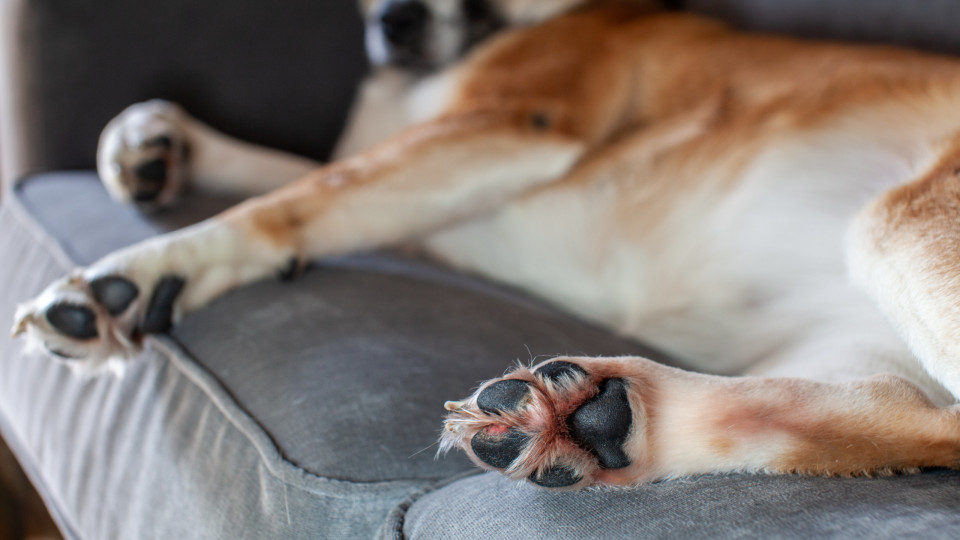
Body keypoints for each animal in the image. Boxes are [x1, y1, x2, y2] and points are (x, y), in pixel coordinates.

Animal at [9, 0, 960, 490]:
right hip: (853, 335)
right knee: (899, 412)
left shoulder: (512, 126)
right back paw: (594, 421)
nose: (395, 23)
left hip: (901, 218)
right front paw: (154, 145)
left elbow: (307, 191)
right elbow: (311, 173)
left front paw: (131, 277)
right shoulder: (435, 203)